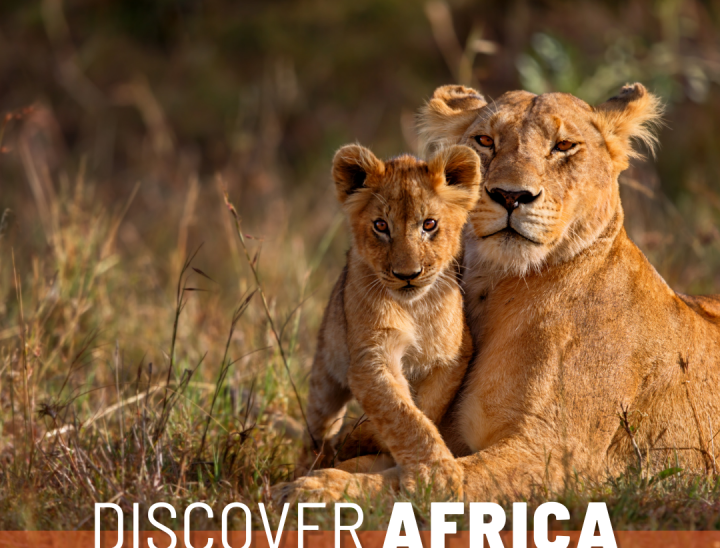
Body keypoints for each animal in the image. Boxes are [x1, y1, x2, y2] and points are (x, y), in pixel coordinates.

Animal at [283, 143, 481, 499]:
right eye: (380, 226)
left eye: (429, 224)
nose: (407, 275)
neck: (414, 308)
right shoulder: (371, 357)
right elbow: (401, 413)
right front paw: (437, 475)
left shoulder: (452, 356)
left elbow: (424, 409)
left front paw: (375, 442)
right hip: (325, 377)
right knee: (318, 429)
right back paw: (309, 463)